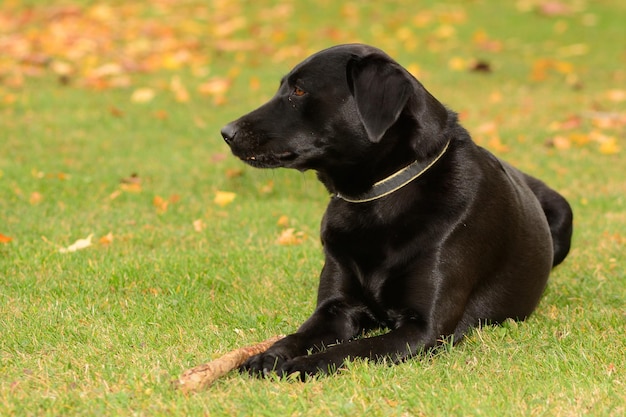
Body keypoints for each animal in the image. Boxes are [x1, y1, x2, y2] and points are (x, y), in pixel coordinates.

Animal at [219, 44, 572, 378]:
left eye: (299, 90)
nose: (226, 132)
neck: (376, 200)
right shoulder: (336, 308)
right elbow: (298, 335)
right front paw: (270, 355)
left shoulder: (423, 328)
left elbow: (352, 350)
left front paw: (304, 366)